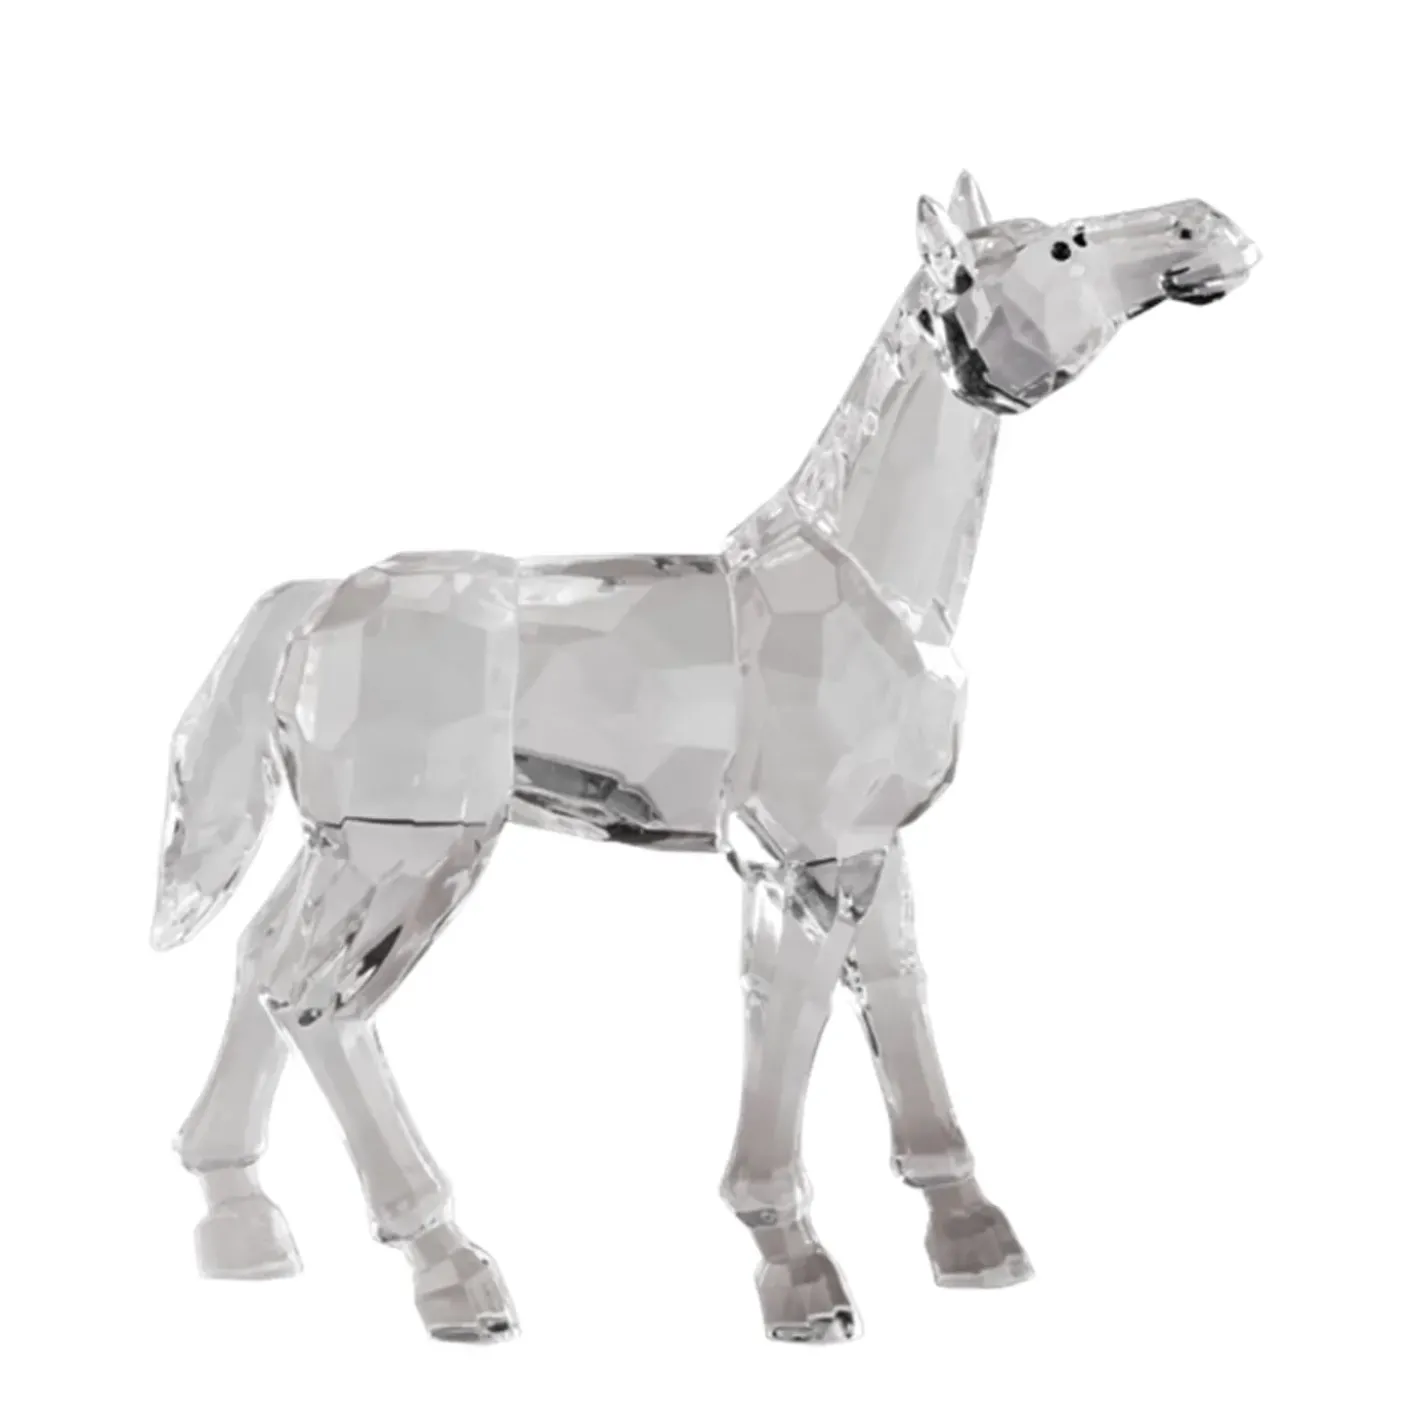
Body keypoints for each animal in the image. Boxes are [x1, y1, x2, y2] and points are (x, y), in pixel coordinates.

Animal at [152, 173, 1258, 1343]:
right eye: (1061, 247)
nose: (1208, 229)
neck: (874, 588)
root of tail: (315, 601)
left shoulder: (876, 850)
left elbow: (897, 995)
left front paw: (971, 1238)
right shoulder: (803, 861)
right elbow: (791, 1013)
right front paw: (798, 1273)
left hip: (344, 846)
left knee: (257, 963)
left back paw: (240, 1225)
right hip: (411, 854)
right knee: (318, 1003)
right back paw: (453, 1273)